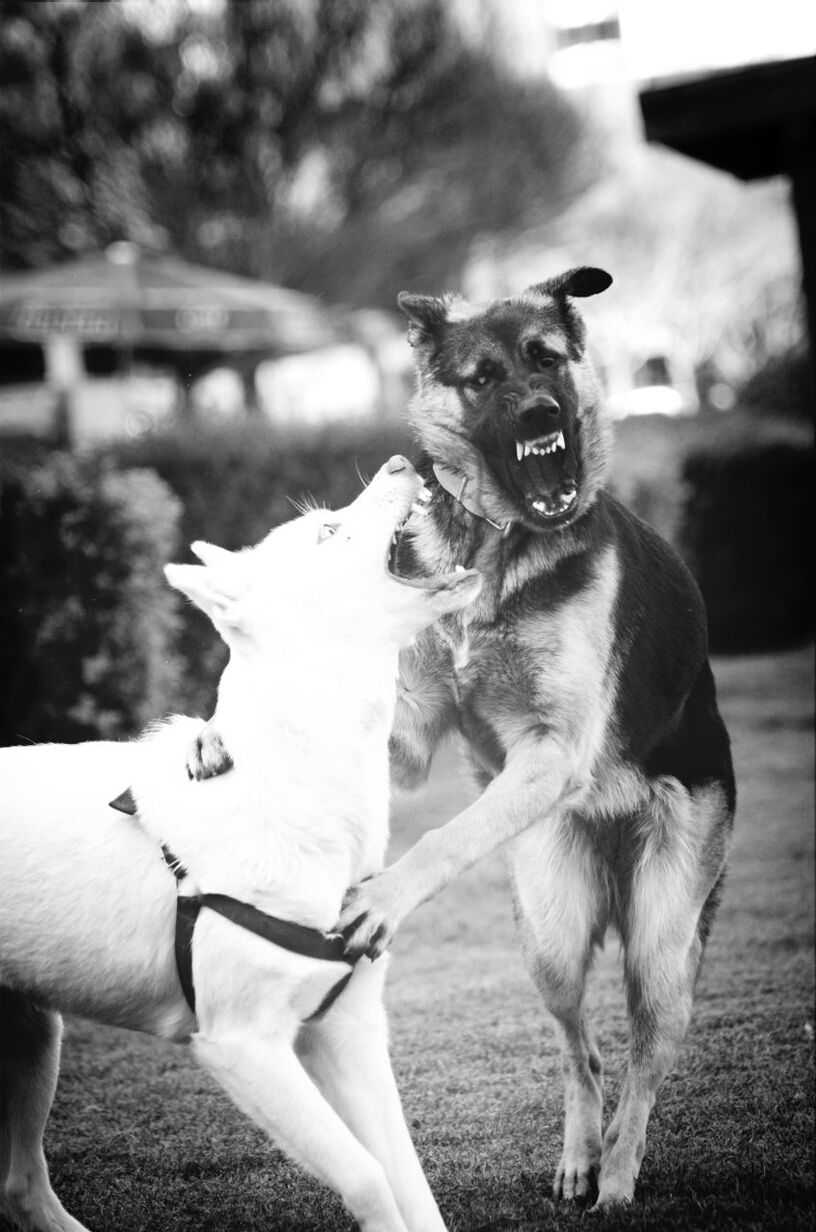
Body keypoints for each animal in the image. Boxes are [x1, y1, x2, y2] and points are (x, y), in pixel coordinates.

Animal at [0, 460, 483, 1232]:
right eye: (327, 530)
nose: (403, 463)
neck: (296, 783)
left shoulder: (347, 1031)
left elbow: (411, 1184)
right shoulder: (243, 1048)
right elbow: (370, 1178)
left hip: (32, 1033)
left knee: (20, 1185)